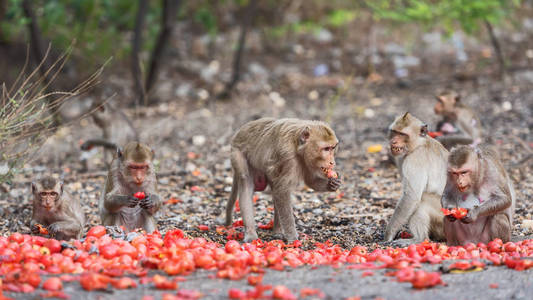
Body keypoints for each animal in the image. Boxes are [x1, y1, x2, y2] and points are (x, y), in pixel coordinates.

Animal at [382, 112, 448, 244]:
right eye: (394, 132)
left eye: (402, 134)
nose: (393, 141)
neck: (419, 144)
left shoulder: (415, 159)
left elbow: (411, 197)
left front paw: (389, 235)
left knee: (422, 201)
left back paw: (419, 239)